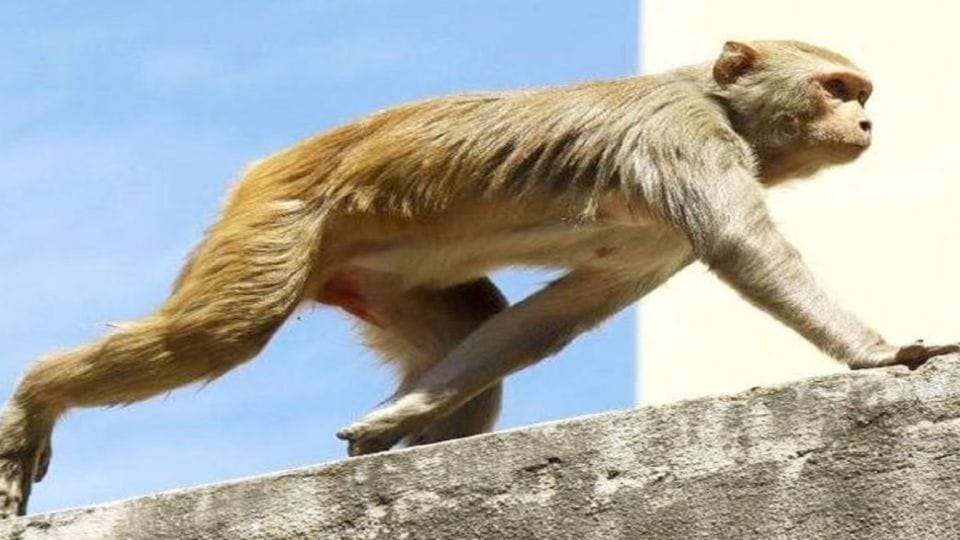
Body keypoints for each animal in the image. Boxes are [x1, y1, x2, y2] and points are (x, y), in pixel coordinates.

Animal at [0, 40, 957, 517]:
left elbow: (555, 316)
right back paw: (36, 399)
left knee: (473, 335)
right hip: (276, 218)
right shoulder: (686, 145)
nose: (865, 122)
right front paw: (880, 354)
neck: (717, 104)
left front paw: (396, 419)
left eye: (860, 92)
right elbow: (747, 252)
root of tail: (266, 170)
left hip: (378, 275)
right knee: (220, 333)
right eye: (836, 87)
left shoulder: (663, 233)